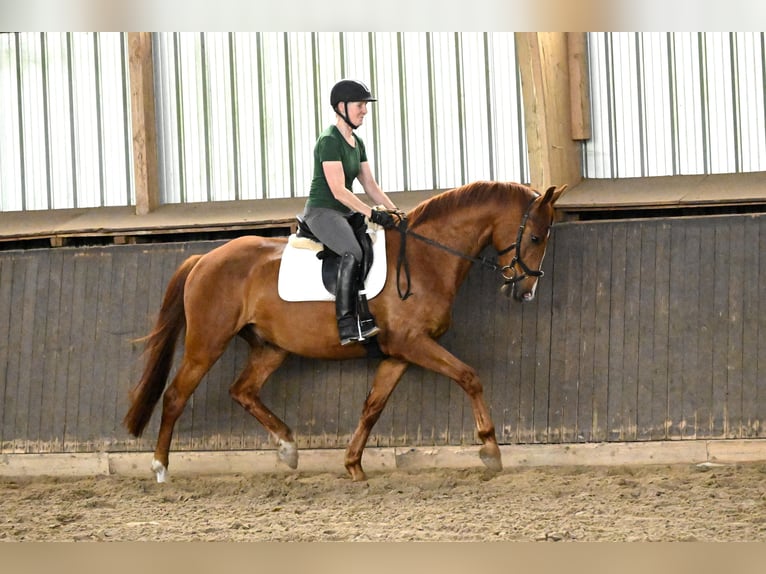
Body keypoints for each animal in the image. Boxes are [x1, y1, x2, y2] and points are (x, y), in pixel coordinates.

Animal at [124, 179, 568, 482]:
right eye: (535, 236)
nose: (525, 292)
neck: (427, 257)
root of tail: (204, 258)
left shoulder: (398, 353)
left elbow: (372, 406)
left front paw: (353, 464)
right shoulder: (414, 344)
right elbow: (469, 377)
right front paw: (490, 450)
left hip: (271, 347)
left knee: (242, 390)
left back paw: (288, 448)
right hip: (207, 343)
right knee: (176, 395)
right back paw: (160, 467)